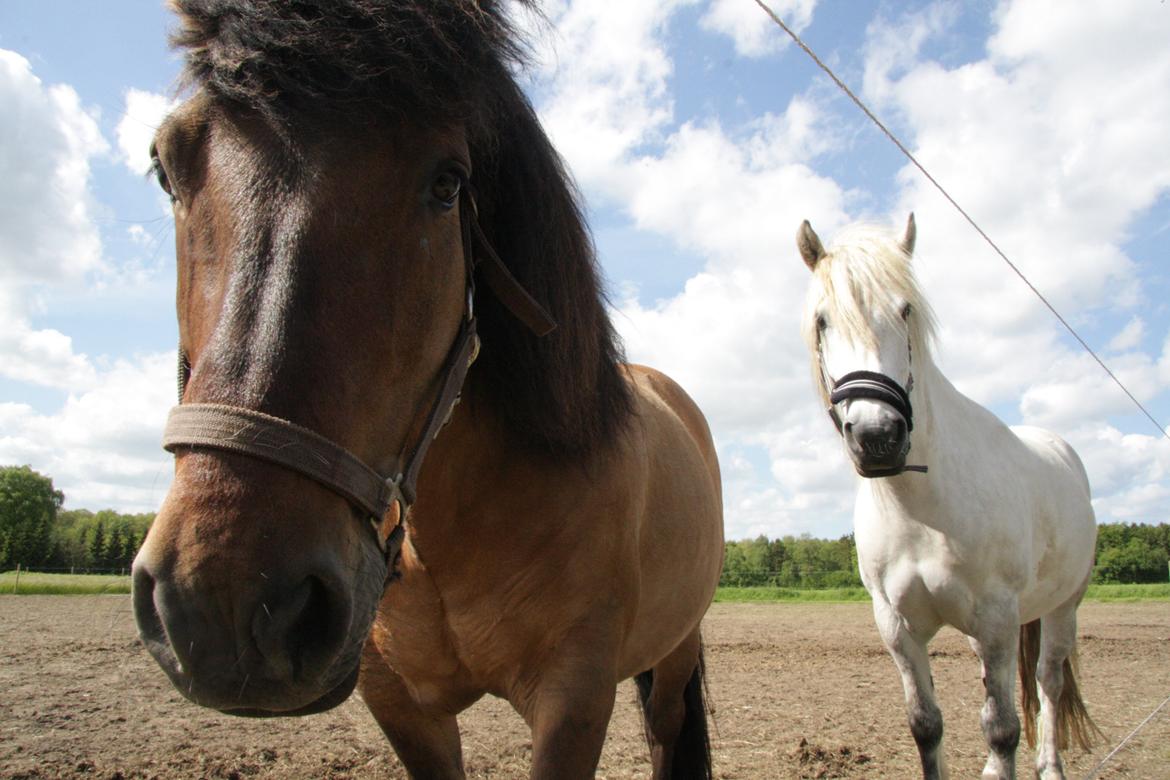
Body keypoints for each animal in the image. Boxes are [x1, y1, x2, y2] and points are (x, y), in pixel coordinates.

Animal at [130, 2, 724, 778]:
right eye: (166, 168)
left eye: (447, 184)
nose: (225, 601)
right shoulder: (400, 704)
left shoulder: (574, 700)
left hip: (677, 650)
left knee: (665, 728)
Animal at [796, 215, 1101, 779]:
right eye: (823, 320)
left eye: (905, 310)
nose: (877, 436)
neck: (922, 507)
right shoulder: (898, 628)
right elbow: (926, 725)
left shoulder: (999, 618)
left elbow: (1002, 728)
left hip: (1063, 605)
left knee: (1048, 680)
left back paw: (1050, 764)